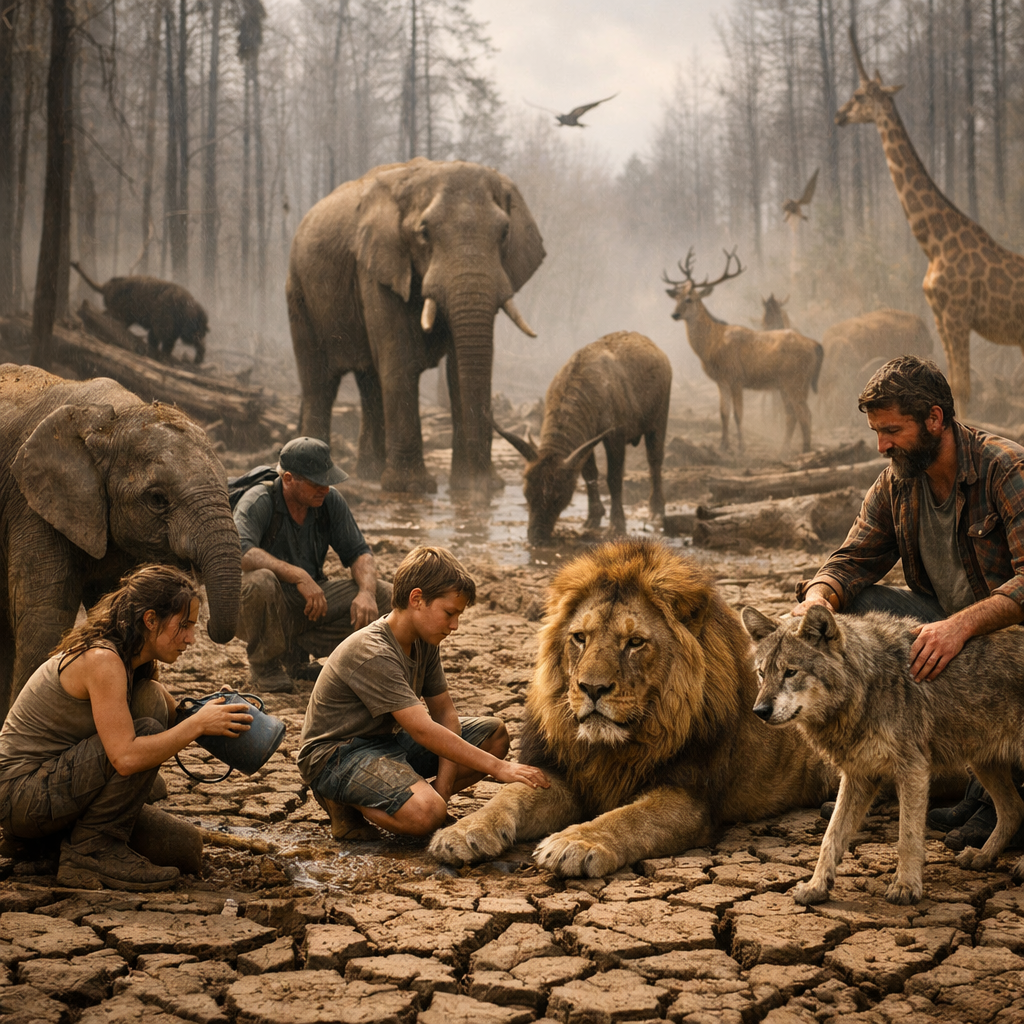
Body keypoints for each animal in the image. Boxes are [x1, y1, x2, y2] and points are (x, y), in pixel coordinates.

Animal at [0, 364, 242, 720]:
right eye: (157, 499)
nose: (210, 625)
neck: (108, 420)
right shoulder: (31, 505)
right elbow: (46, 613)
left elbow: (115, 603)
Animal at [287, 157, 545, 495]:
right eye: (424, 232)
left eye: (504, 232)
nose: (491, 485)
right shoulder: (377, 266)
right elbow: (399, 356)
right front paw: (411, 488)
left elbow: (457, 369)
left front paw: (473, 488)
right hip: (299, 292)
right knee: (320, 383)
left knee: (370, 381)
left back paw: (370, 474)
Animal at [429, 539, 837, 877]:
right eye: (580, 638)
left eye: (635, 642)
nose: (592, 688)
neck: (617, 745)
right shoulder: (561, 774)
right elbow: (509, 794)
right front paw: (462, 831)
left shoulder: (690, 798)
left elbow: (629, 818)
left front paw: (574, 843)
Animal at [664, 249, 824, 452]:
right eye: (676, 299)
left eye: (689, 299)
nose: (674, 314)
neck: (712, 345)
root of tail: (816, 345)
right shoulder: (721, 381)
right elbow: (723, 413)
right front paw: (723, 446)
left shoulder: (736, 377)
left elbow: (738, 414)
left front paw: (741, 447)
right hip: (785, 384)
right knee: (792, 414)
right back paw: (784, 449)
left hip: (796, 380)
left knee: (805, 414)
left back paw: (805, 449)